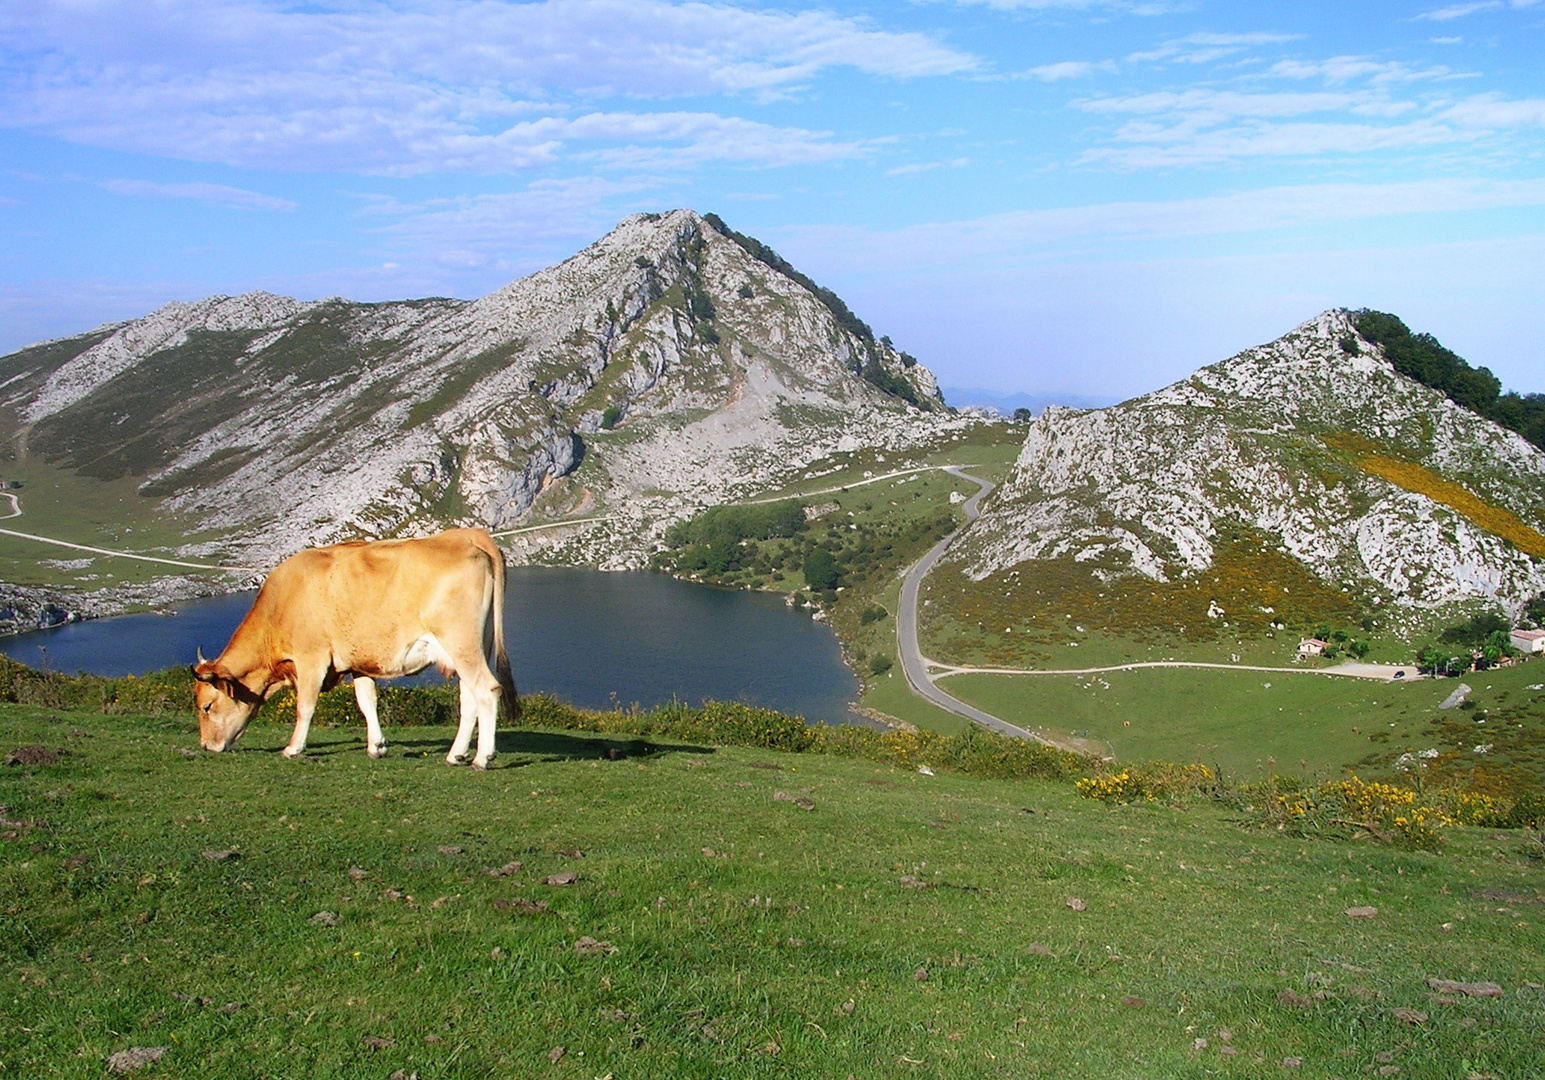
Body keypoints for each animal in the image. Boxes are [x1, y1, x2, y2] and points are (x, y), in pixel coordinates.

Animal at [191, 525, 519, 763]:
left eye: (207, 706)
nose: (206, 745)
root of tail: (467, 535)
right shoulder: (359, 662)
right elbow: (366, 701)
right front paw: (377, 746)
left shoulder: (311, 658)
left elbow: (305, 706)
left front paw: (293, 748)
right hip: (469, 648)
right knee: (469, 698)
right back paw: (456, 754)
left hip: (461, 643)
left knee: (487, 690)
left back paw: (482, 757)